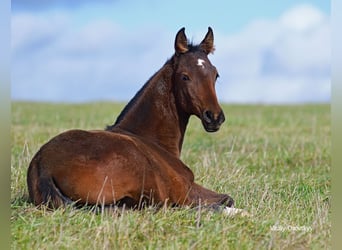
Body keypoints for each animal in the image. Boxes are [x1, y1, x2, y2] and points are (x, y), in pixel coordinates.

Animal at [27, 26, 235, 211]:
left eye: (216, 75)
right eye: (185, 76)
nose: (214, 117)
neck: (152, 140)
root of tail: (43, 166)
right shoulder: (186, 190)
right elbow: (227, 199)